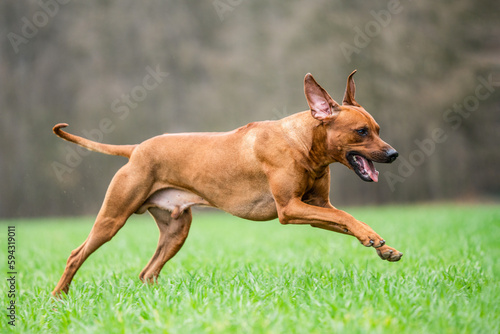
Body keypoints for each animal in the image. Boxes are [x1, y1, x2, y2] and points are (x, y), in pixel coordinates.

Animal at [50, 72, 402, 296]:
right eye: (361, 132)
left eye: (378, 129)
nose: (393, 154)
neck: (302, 143)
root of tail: (136, 149)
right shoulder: (290, 209)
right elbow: (345, 216)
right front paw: (373, 238)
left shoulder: (316, 207)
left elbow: (342, 218)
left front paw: (384, 248)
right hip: (113, 217)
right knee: (76, 255)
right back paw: (58, 298)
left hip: (177, 230)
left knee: (148, 272)